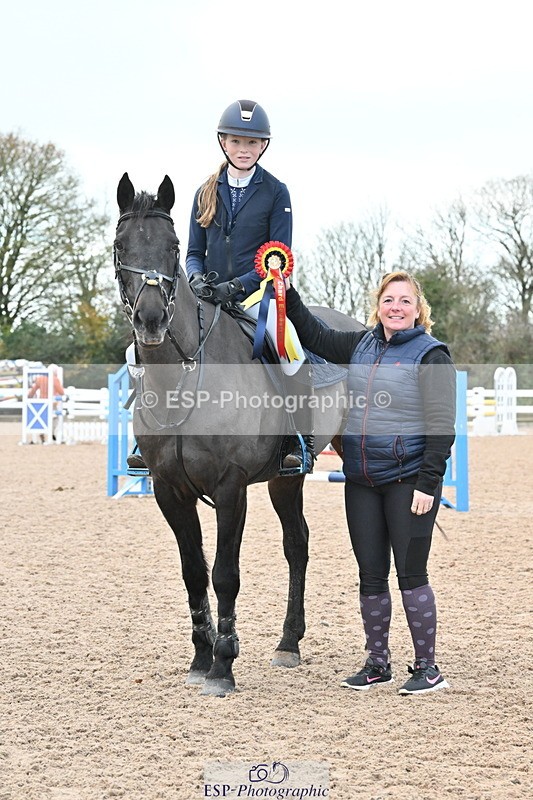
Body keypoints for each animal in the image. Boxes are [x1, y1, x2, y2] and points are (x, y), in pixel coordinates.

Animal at [113, 173, 364, 696]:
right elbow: (194, 572)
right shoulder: (170, 490)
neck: (184, 378)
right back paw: (289, 643)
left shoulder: (230, 488)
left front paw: (222, 665)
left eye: (172, 247)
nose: (151, 320)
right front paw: (200, 657)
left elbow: (225, 574)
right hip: (286, 479)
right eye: (121, 245)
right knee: (297, 542)